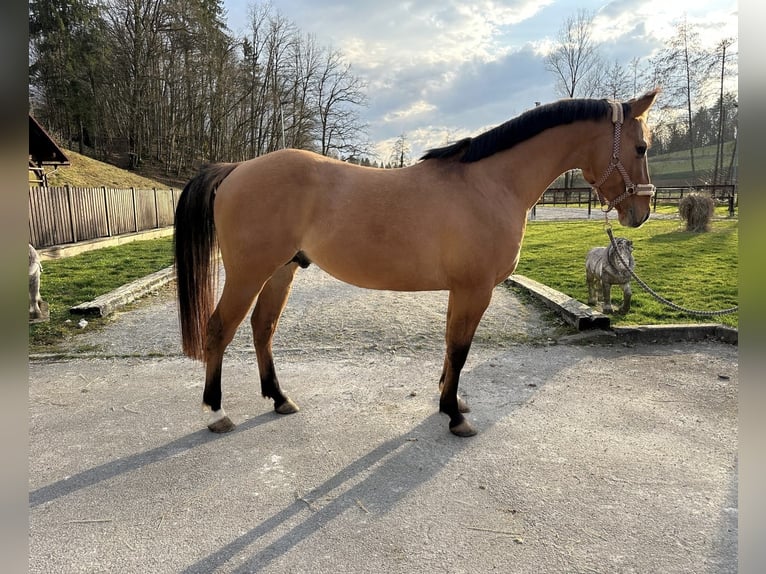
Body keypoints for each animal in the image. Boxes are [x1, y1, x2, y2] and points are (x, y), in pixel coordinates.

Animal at [174, 90, 659, 437]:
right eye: (641, 147)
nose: (640, 212)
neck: (489, 183)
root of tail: (236, 168)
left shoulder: (462, 290)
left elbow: (450, 347)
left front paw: (452, 401)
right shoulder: (474, 289)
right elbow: (460, 350)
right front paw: (454, 416)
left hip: (281, 271)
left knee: (263, 328)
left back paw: (278, 399)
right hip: (248, 273)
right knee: (219, 329)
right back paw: (216, 412)